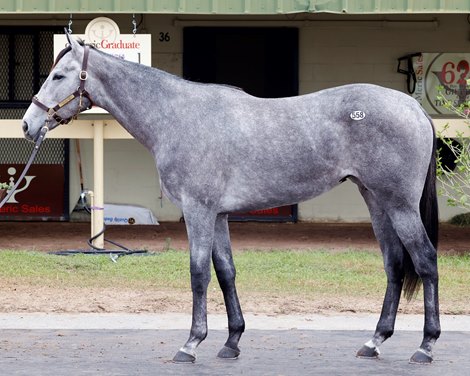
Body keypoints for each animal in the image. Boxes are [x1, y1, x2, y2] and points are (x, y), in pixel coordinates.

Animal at [22, 32, 440, 364]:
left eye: (58, 75)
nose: (28, 125)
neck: (177, 116)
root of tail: (413, 107)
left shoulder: (198, 211)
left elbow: (198, 273)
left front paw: (191, 344)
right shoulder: (218, 215)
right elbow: (226, 272)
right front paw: (232, 341)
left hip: (399, 205)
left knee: (425, 260)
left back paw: (425, 346)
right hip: (376, 201)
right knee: (394, 264)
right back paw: (374, 341)